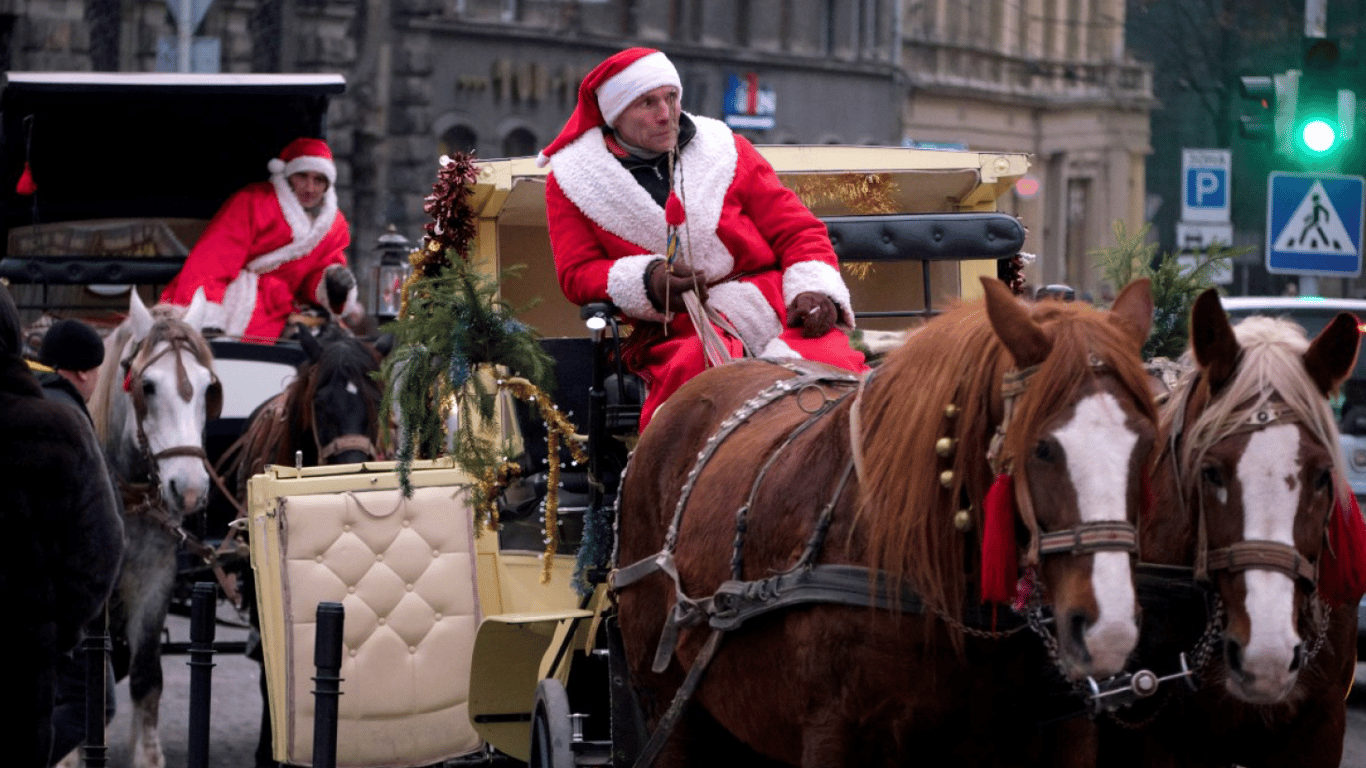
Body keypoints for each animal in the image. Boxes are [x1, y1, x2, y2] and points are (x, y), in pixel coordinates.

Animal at [88, 286, 219, 765]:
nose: (191, 489)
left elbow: (146, 678)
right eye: (147, 386)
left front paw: (147, 755)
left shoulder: (155, 578)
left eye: (208, 388)